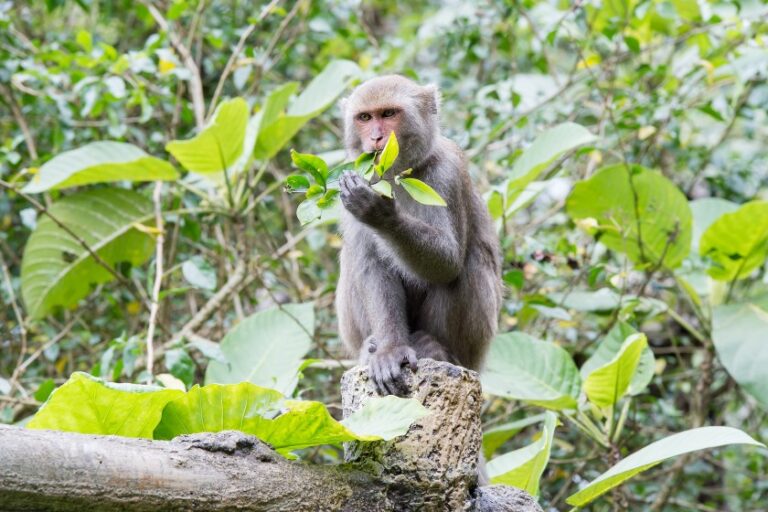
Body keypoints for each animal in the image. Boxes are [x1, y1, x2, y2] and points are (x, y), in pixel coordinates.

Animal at [335, 75, 502, 397]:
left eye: (389, 114)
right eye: (365, 118)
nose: (376, 138)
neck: (398, 176)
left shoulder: (447, 174)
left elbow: (446, 263)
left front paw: (380, 214)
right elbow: (372, 266)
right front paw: (389, 350)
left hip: (476, 346)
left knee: (468, 264)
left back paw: (437, 348)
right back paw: (371, 347)